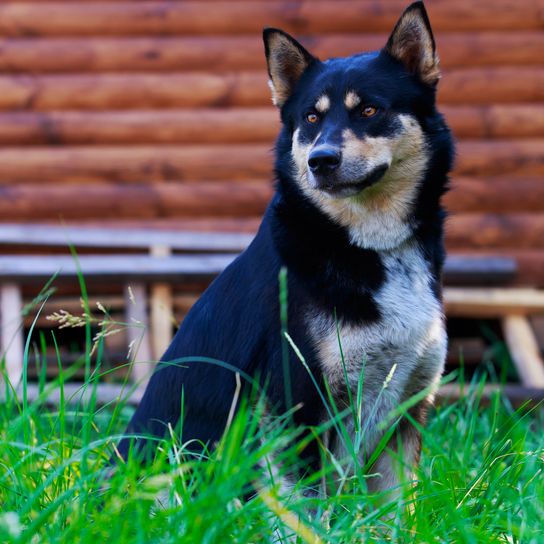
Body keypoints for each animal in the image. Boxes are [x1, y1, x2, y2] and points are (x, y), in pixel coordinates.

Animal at [116, 0, 454, 492]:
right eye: (311, 118)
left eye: (369, 109)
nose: (321, 161)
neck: (370, 246)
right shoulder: (297, 405)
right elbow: (310, 504)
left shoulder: (406, 412)